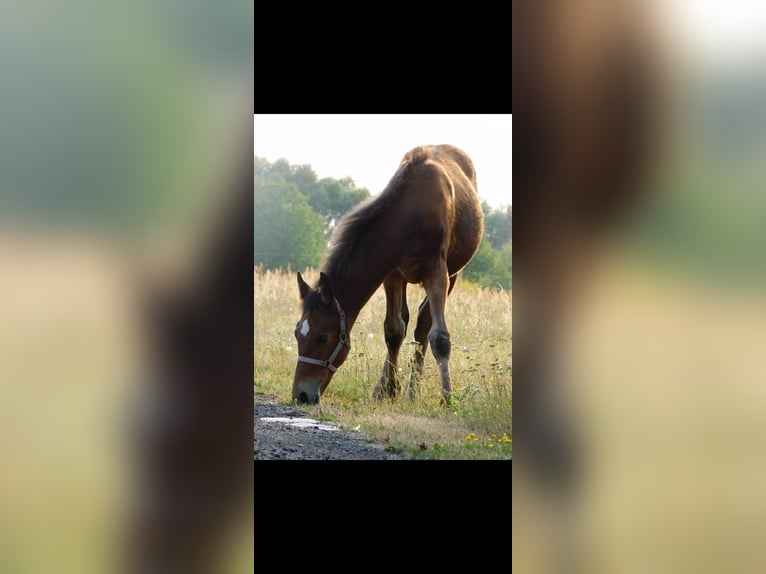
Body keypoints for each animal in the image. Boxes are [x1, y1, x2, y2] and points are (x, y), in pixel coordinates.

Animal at [292, 143, 484, 404]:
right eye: (297, 334)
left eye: (323, 337)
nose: (301, 395)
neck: (412, 214)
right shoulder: (392, 275)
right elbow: (393, 331)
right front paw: (390, 389)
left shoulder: (437, 273)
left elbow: (439, 338)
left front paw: (446, 397)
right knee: (408, 322)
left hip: (452, 275)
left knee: (424, 325)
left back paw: (414, 390)